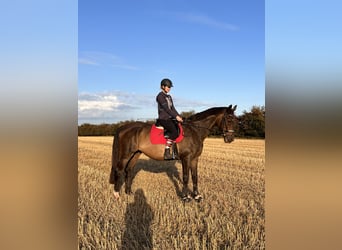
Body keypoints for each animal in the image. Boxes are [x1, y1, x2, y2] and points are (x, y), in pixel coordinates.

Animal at [110, 104, 238, 202]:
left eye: (235, 120)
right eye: (228, 119)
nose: (230, 139)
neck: (194, 130)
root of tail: (123, 128)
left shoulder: (195, 159)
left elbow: (195, 177)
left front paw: (197, 196)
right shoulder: (186, 158)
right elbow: (186, 177)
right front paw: (186, 197)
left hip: (136, 153)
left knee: (128, 170)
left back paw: (129, 192)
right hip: (126, 154)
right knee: (119, 170)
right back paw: (117, 195)